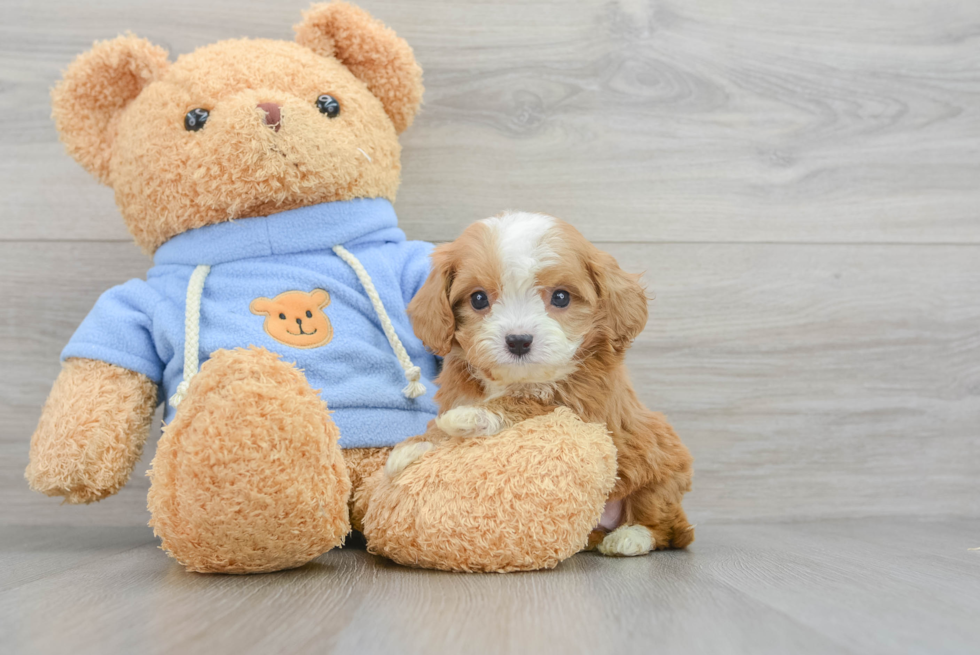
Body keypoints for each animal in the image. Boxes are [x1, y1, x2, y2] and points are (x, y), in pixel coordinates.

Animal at [386, 213, 692, 556]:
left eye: (561, 297)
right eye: (478, 299)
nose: (519, 341)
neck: (518, 379)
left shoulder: (580, 404)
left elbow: (523, 403)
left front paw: (472, 415)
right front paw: (413, 448)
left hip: (663, 471)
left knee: (664, 525)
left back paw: (630, 537)